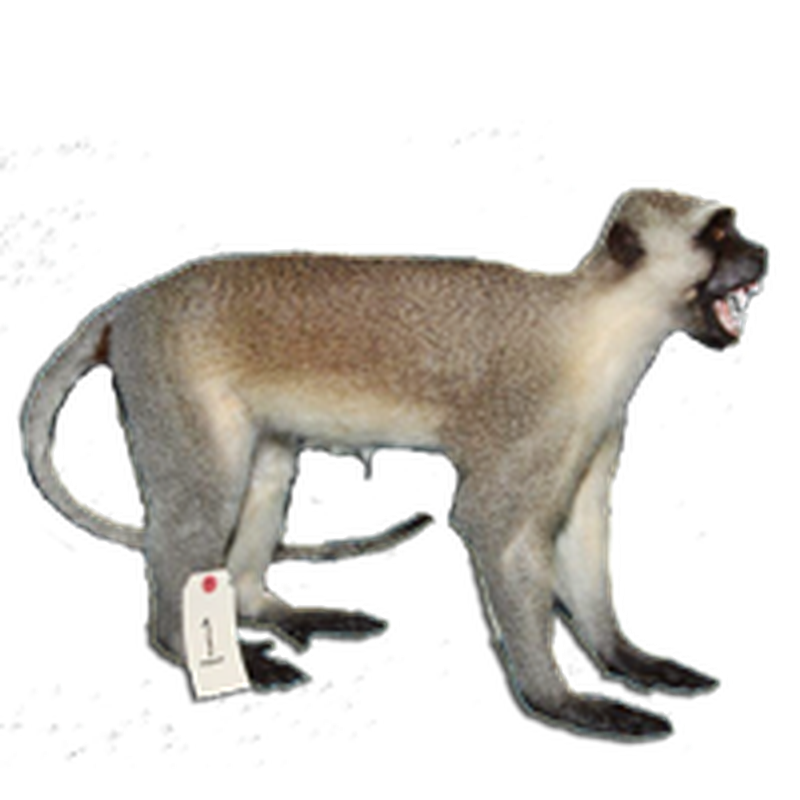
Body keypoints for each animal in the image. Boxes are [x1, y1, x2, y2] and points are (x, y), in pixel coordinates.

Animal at [19, 181, 770, 740]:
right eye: (716, 237)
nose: (759, 253)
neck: (600, 326)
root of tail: (132, 303)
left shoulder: (597, 421)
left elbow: (582, 527)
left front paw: (624, 657)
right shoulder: (533, 414)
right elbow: (498, 530)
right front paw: (560, 701)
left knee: (261, 477)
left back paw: (261, 603)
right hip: (170, 377)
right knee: (205, 502)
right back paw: (191, 642)